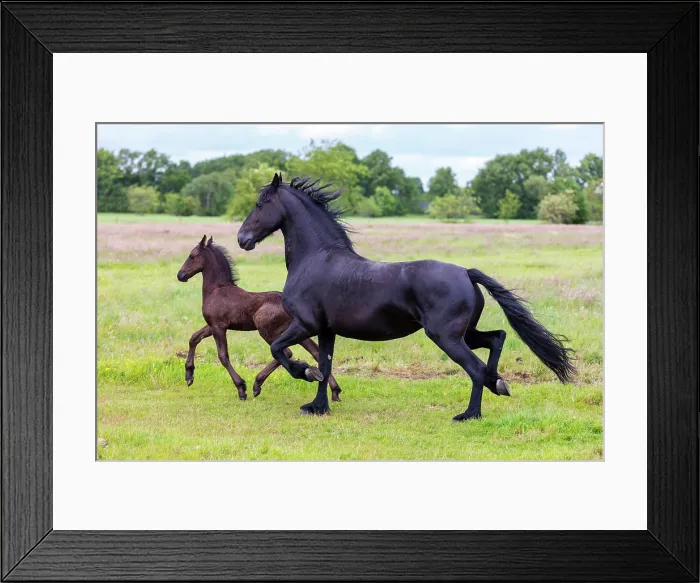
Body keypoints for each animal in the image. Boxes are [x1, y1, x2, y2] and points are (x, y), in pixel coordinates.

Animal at [176, 235, 341, 401]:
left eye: (192, 255)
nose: (180, 275)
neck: (217, 290)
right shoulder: (212, 325)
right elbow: (194, 338)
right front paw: (189, 376)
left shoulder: (218, 326)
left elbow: (223, 356)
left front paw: (241, 388)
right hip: (297, 332)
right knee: (315, 352)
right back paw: (334, 390)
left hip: (267, 330)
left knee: (285, 352)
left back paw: (258, 383)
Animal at [236, 174, 575, 421]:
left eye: (260, 203)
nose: (242, 239)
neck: (316, 258)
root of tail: (466, 273)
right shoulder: (325, 330)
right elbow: (326, 366)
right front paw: (318, 406)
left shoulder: (305, 324)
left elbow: (280, 350)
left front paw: (304, 373)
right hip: (463, 333)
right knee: (497, 337)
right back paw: (498, 383)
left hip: (446, 337)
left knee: (476, 367)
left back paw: (469, 414)